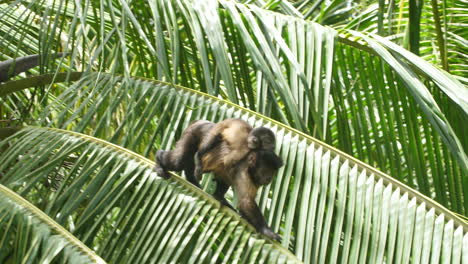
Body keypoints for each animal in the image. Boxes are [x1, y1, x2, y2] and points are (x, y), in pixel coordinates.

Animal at [155, 119, 284, 241]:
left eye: (273, 173)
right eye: (266, 171)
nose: (269, 178)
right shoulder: (243, 168)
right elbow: (246, 201)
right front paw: (266, 230)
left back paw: (212, 192)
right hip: (193, 132)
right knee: (179, 161)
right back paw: (160, 159)